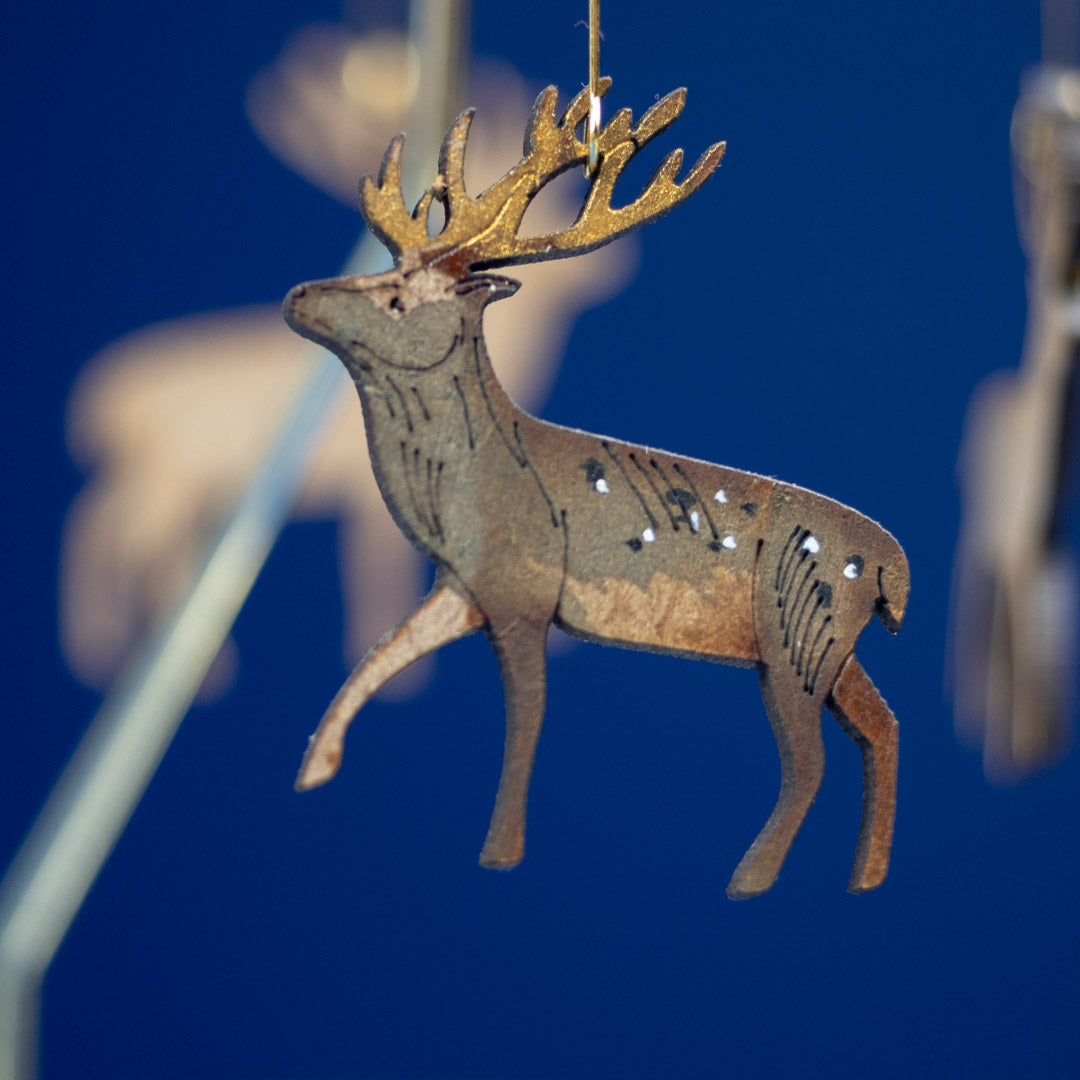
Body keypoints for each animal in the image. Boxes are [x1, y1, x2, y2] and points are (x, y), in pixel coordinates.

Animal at [282, 78, 909, 898]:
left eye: (398, 297)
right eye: (386, 264)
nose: (299, 297)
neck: (460, 500)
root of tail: (893, 568)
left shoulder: (524, 595)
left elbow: (526, 719)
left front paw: (501, 852)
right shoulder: (465, 587)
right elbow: (377, 659)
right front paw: (316, 768)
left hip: (797, 637)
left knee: (811, 761)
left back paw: (747, 878)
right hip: (830, 647)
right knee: (883, 725)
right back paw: (865, 877)